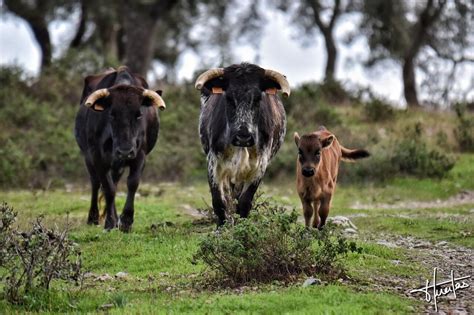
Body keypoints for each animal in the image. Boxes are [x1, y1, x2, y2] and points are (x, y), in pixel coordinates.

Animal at [75, 66, 166, 232]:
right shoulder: (97, 157)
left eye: (139, 114)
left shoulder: (140, 155)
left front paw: (126, 221)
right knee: (96, 182)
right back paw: (93, 218)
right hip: (88, 157)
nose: (125, 151)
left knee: (114, 183)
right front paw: (110, 222)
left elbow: (132, 183)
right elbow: (108, 188)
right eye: (112, 114)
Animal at [194, 63, 290, 226]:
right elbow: (219, 201)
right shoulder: (214, 164)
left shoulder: (259, 166)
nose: (243, 137)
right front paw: (222, 227)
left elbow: (244, 202)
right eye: (228, 97)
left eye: (258, 98)